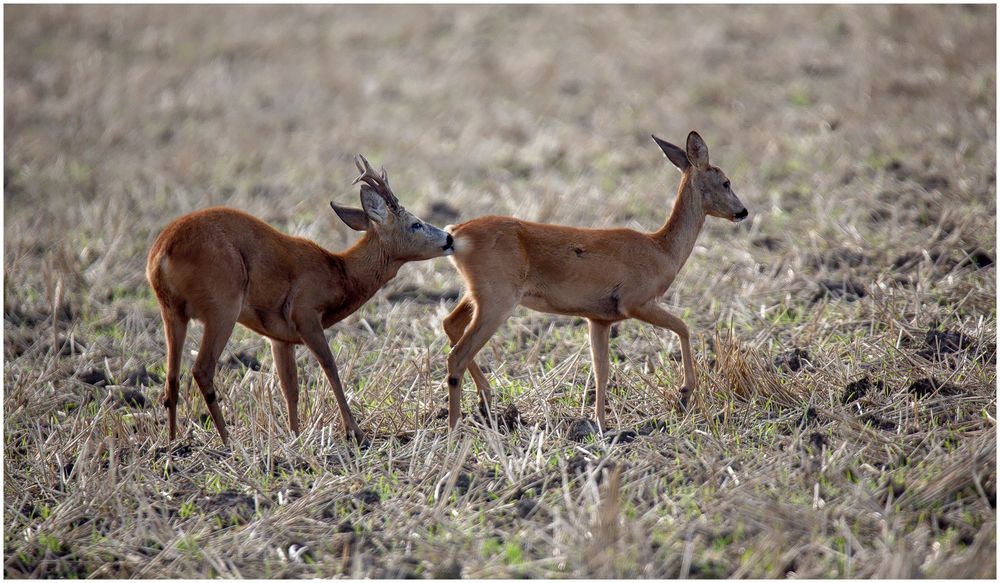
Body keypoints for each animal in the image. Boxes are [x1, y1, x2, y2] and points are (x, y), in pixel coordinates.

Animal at [148, 157, 454, 444]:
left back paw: (172, 443)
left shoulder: (279, 337)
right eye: (415, 223)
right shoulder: (305, 313)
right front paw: (356, 432)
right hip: (222, 306)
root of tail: (162, 251)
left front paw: (295, 435)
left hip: (171, 311)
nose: (450, 238)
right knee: (201, 369)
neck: (339, 273)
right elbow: (331, 368)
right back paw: (227, 441)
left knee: (171, 379)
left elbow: (290, 387)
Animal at [442, 135, 748, 432]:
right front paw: (684, 393)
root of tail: (455, 234)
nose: (743, 211)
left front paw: (600, 423)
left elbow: (601, 370)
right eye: (726, 181)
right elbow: (684, 327)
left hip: (479, 295)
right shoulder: (636, 302)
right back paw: (455, 430)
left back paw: (485, 402)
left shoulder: (599, 319)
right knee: (457, 356)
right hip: (498, 300)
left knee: (450, 324)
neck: (662, 249)